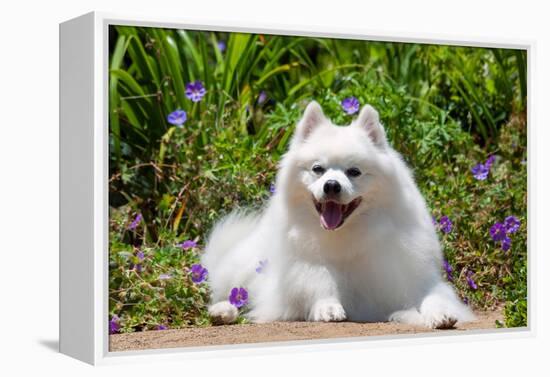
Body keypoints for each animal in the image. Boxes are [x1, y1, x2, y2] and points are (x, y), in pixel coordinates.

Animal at [202, 101, 474, 328]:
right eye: (318, 169)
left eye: (354, 171)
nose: (331, 185)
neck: (346, 233)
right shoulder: (306, 268)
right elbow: (318, 282)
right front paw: (327, 306)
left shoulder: (409, 276)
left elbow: (433, 297)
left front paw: (440, 314)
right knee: (230, 293)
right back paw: (223, 311)